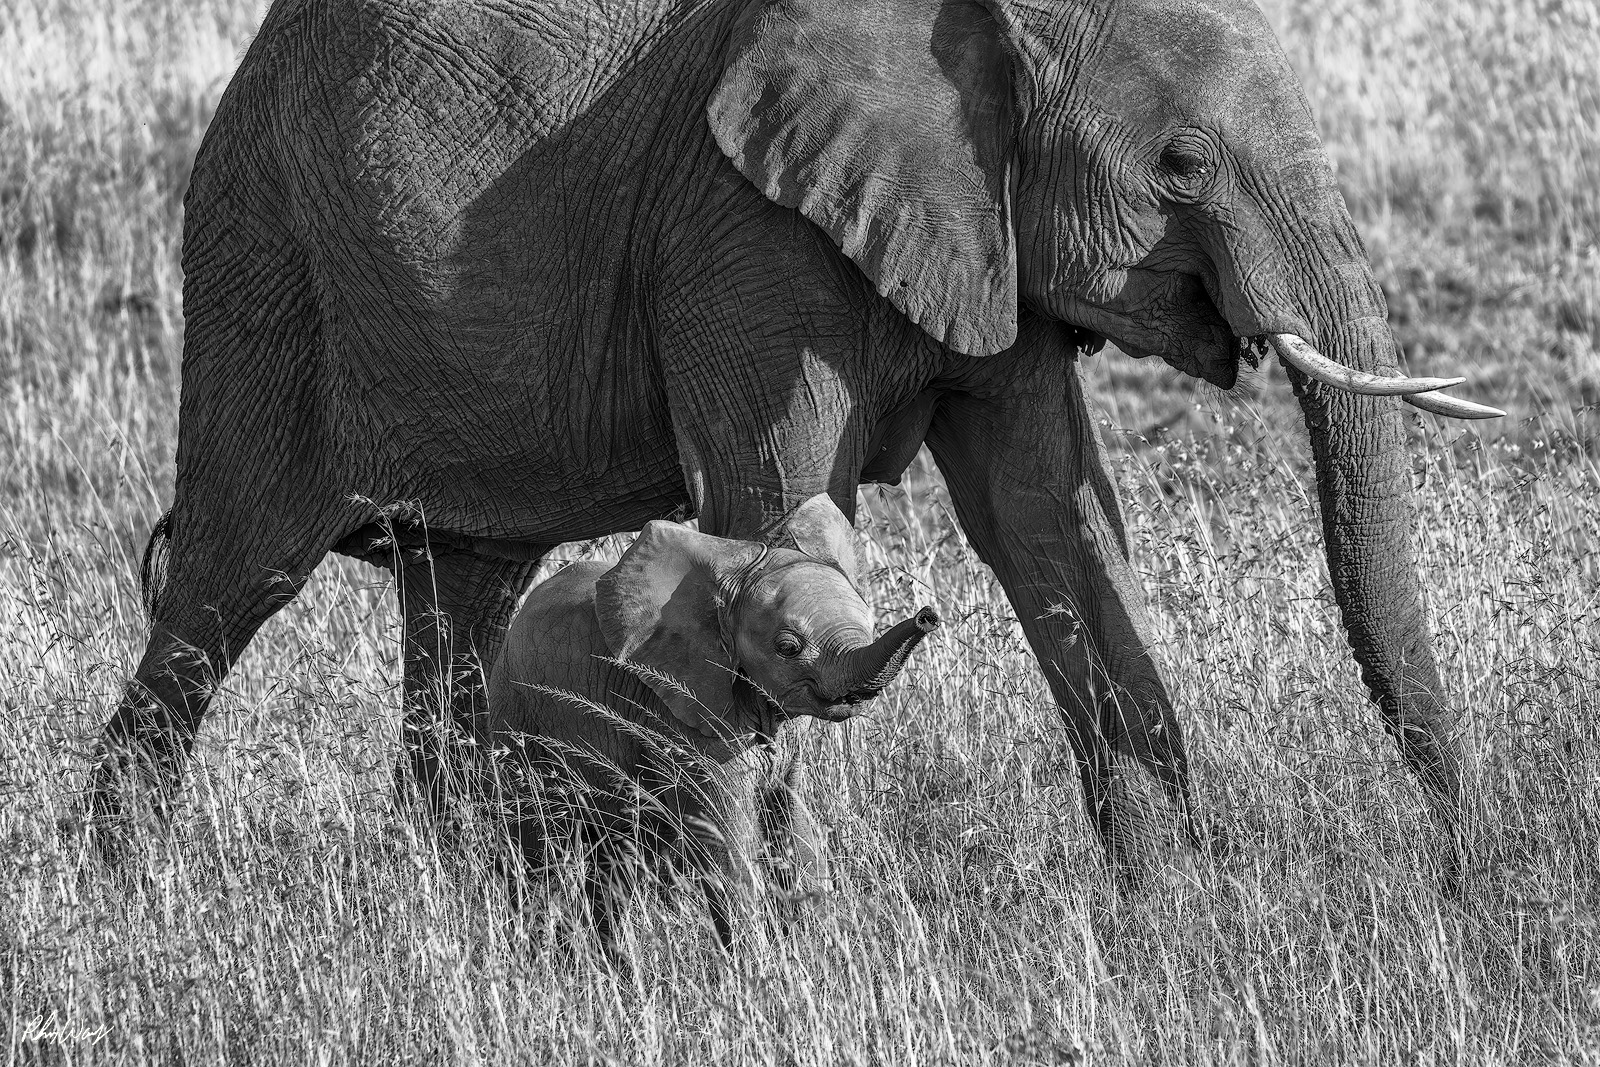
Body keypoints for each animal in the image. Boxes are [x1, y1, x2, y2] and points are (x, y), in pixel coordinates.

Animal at [91, 0, 1502, 883]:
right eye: (1182, 164)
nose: (1459, 866)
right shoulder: (743, 234)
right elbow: (777, 498)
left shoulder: (979, 223)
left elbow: (1049, 522)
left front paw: (1172, 905)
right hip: (262, 262)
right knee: (226, 583)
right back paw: (123, 895)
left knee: (459, 591)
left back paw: (461, 898)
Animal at [486, 494, 940, 948]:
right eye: (788, 648)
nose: (928, 615)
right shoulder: (683, 715)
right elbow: (727, 848)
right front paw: (756, 964)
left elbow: (796, 830)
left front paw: (818, 950)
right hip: (517, 721)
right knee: (538, 850)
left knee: (615, 857)